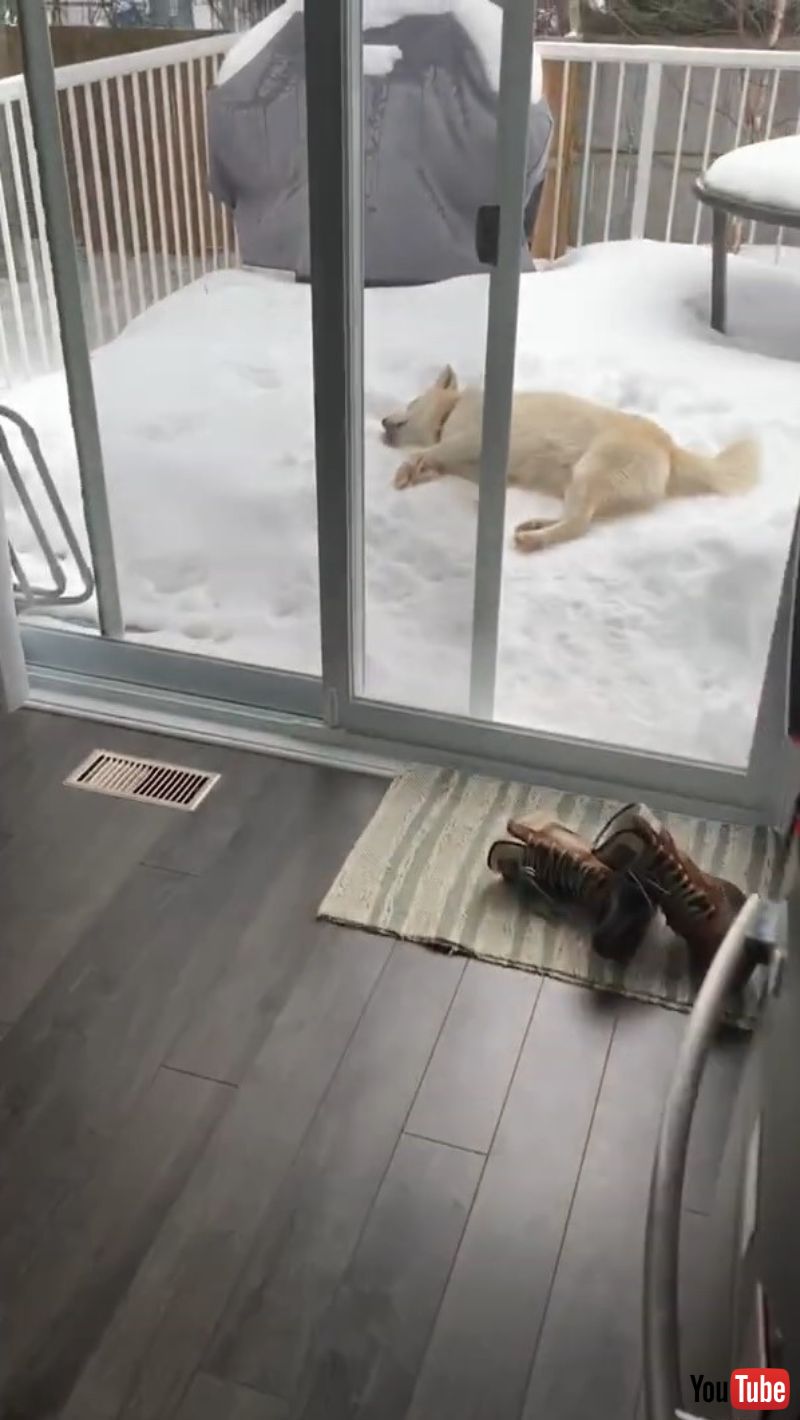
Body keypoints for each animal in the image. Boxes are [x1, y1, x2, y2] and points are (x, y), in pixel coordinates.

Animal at [383, 363, 761, 550]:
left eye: (412, 403)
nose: (384, 422)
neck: (451, 414)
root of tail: (669, 446)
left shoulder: (471, 439)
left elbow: (430, 451)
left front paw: (407, 469)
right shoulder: (469, 463)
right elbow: (432, 460)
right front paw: (418, 472)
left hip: (589, 473)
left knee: (578, 526)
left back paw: (534, 539)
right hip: (581, 487)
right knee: (580, 520)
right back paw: (536, 526)